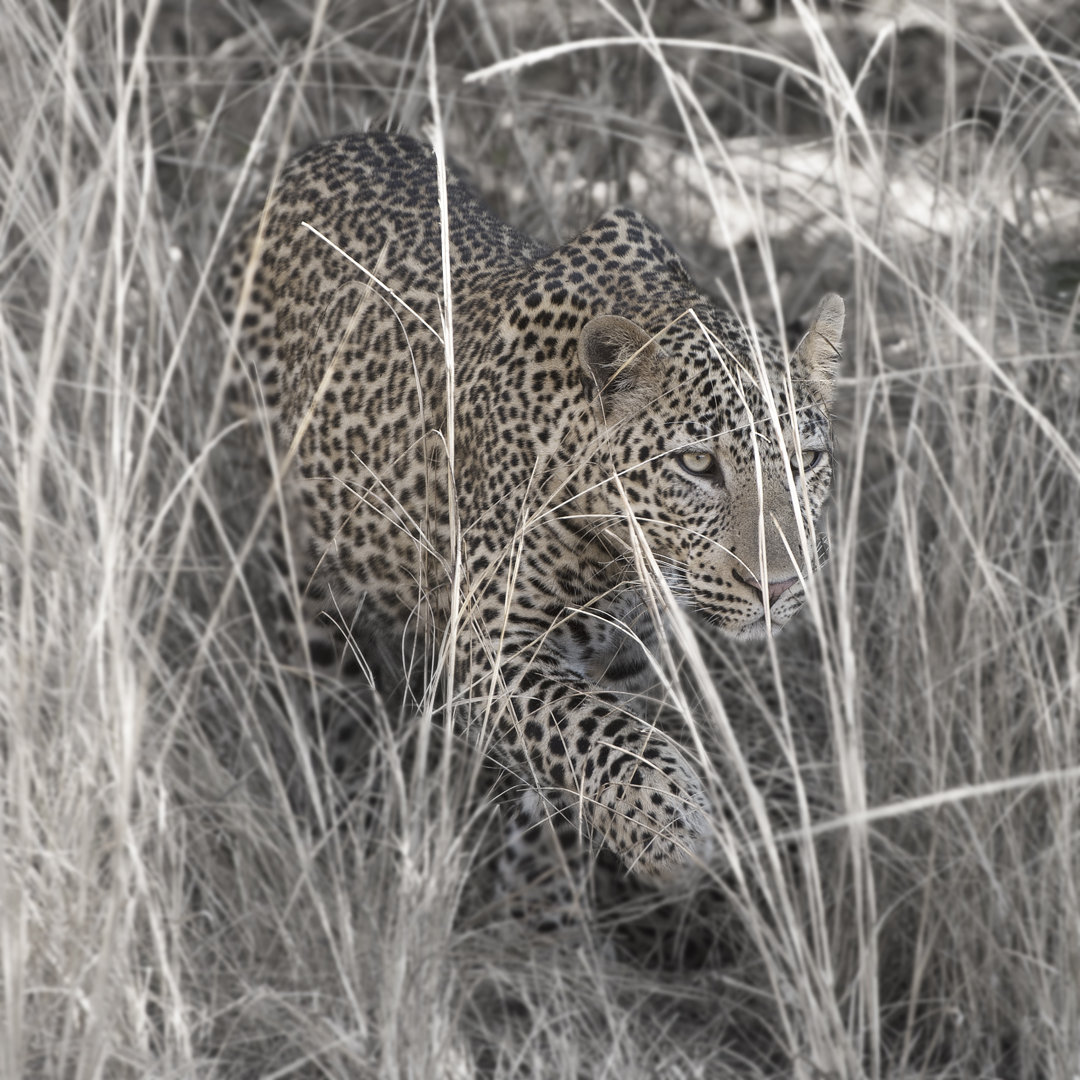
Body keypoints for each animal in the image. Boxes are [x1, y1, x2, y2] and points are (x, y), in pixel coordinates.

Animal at [219, 130, 842, 885]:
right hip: (294, 550)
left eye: (805, 461)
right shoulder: (487, 647)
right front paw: (672, 829)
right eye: (698, 465)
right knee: (316, 678)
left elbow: (590, 744)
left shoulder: (623, 656)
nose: (778, 586)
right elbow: (595, 730)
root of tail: (321, 148)